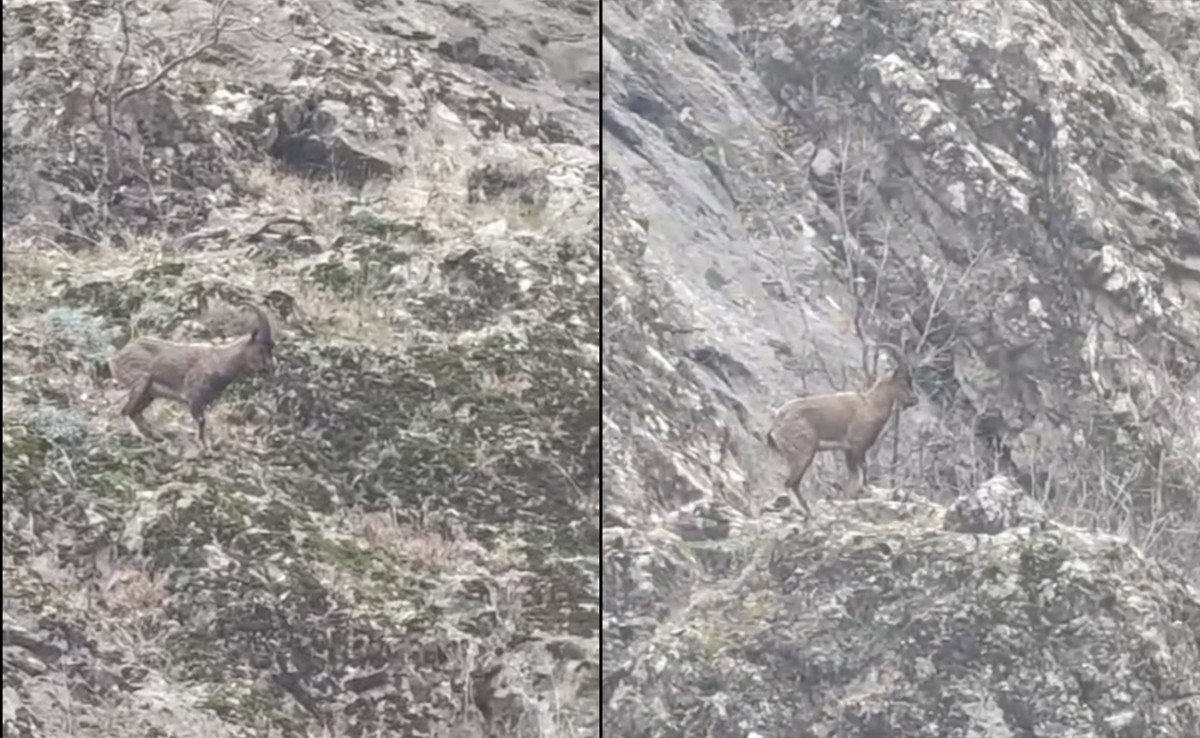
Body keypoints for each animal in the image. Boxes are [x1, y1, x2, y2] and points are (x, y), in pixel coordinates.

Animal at [109, 304, 274, 446]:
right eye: (261, 348)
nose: (269, 368)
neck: (220, 361)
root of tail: (115, 358)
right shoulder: (194, 397)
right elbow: (201, 421)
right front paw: (203, 445)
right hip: (141, 382)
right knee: (126, 411)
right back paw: (138, 435)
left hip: (149, 393)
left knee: (135, 413)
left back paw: (156, 435)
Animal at [768, 345, 916, 508]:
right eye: (903, 380)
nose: (914, 400)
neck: (871, 405)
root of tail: (777, 422)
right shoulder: (857, 446)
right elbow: (861, 472)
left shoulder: (848, 450)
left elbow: (854, 477)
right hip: (803, 453)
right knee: (789, 483)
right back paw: (800, 510)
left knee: (793, 484)